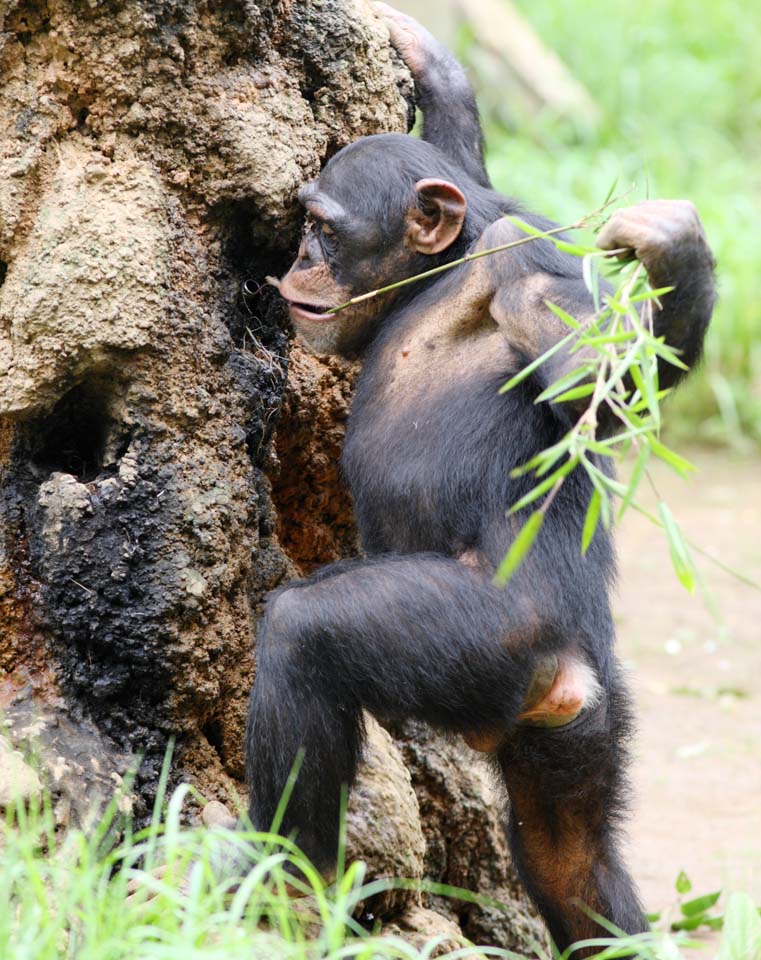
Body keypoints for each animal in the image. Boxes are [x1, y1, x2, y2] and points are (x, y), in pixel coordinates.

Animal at [246, 3, 716, 952]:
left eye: (326, 228)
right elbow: (462, 152)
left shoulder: (518, 264)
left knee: (305, 638)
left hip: (486, 637)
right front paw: (431, 60)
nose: (300, 259)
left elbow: (597, 387)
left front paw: (671, 248)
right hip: (582, 723)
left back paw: (288, 895)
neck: (437, 275)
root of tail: (565, 669)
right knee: (571, 859)